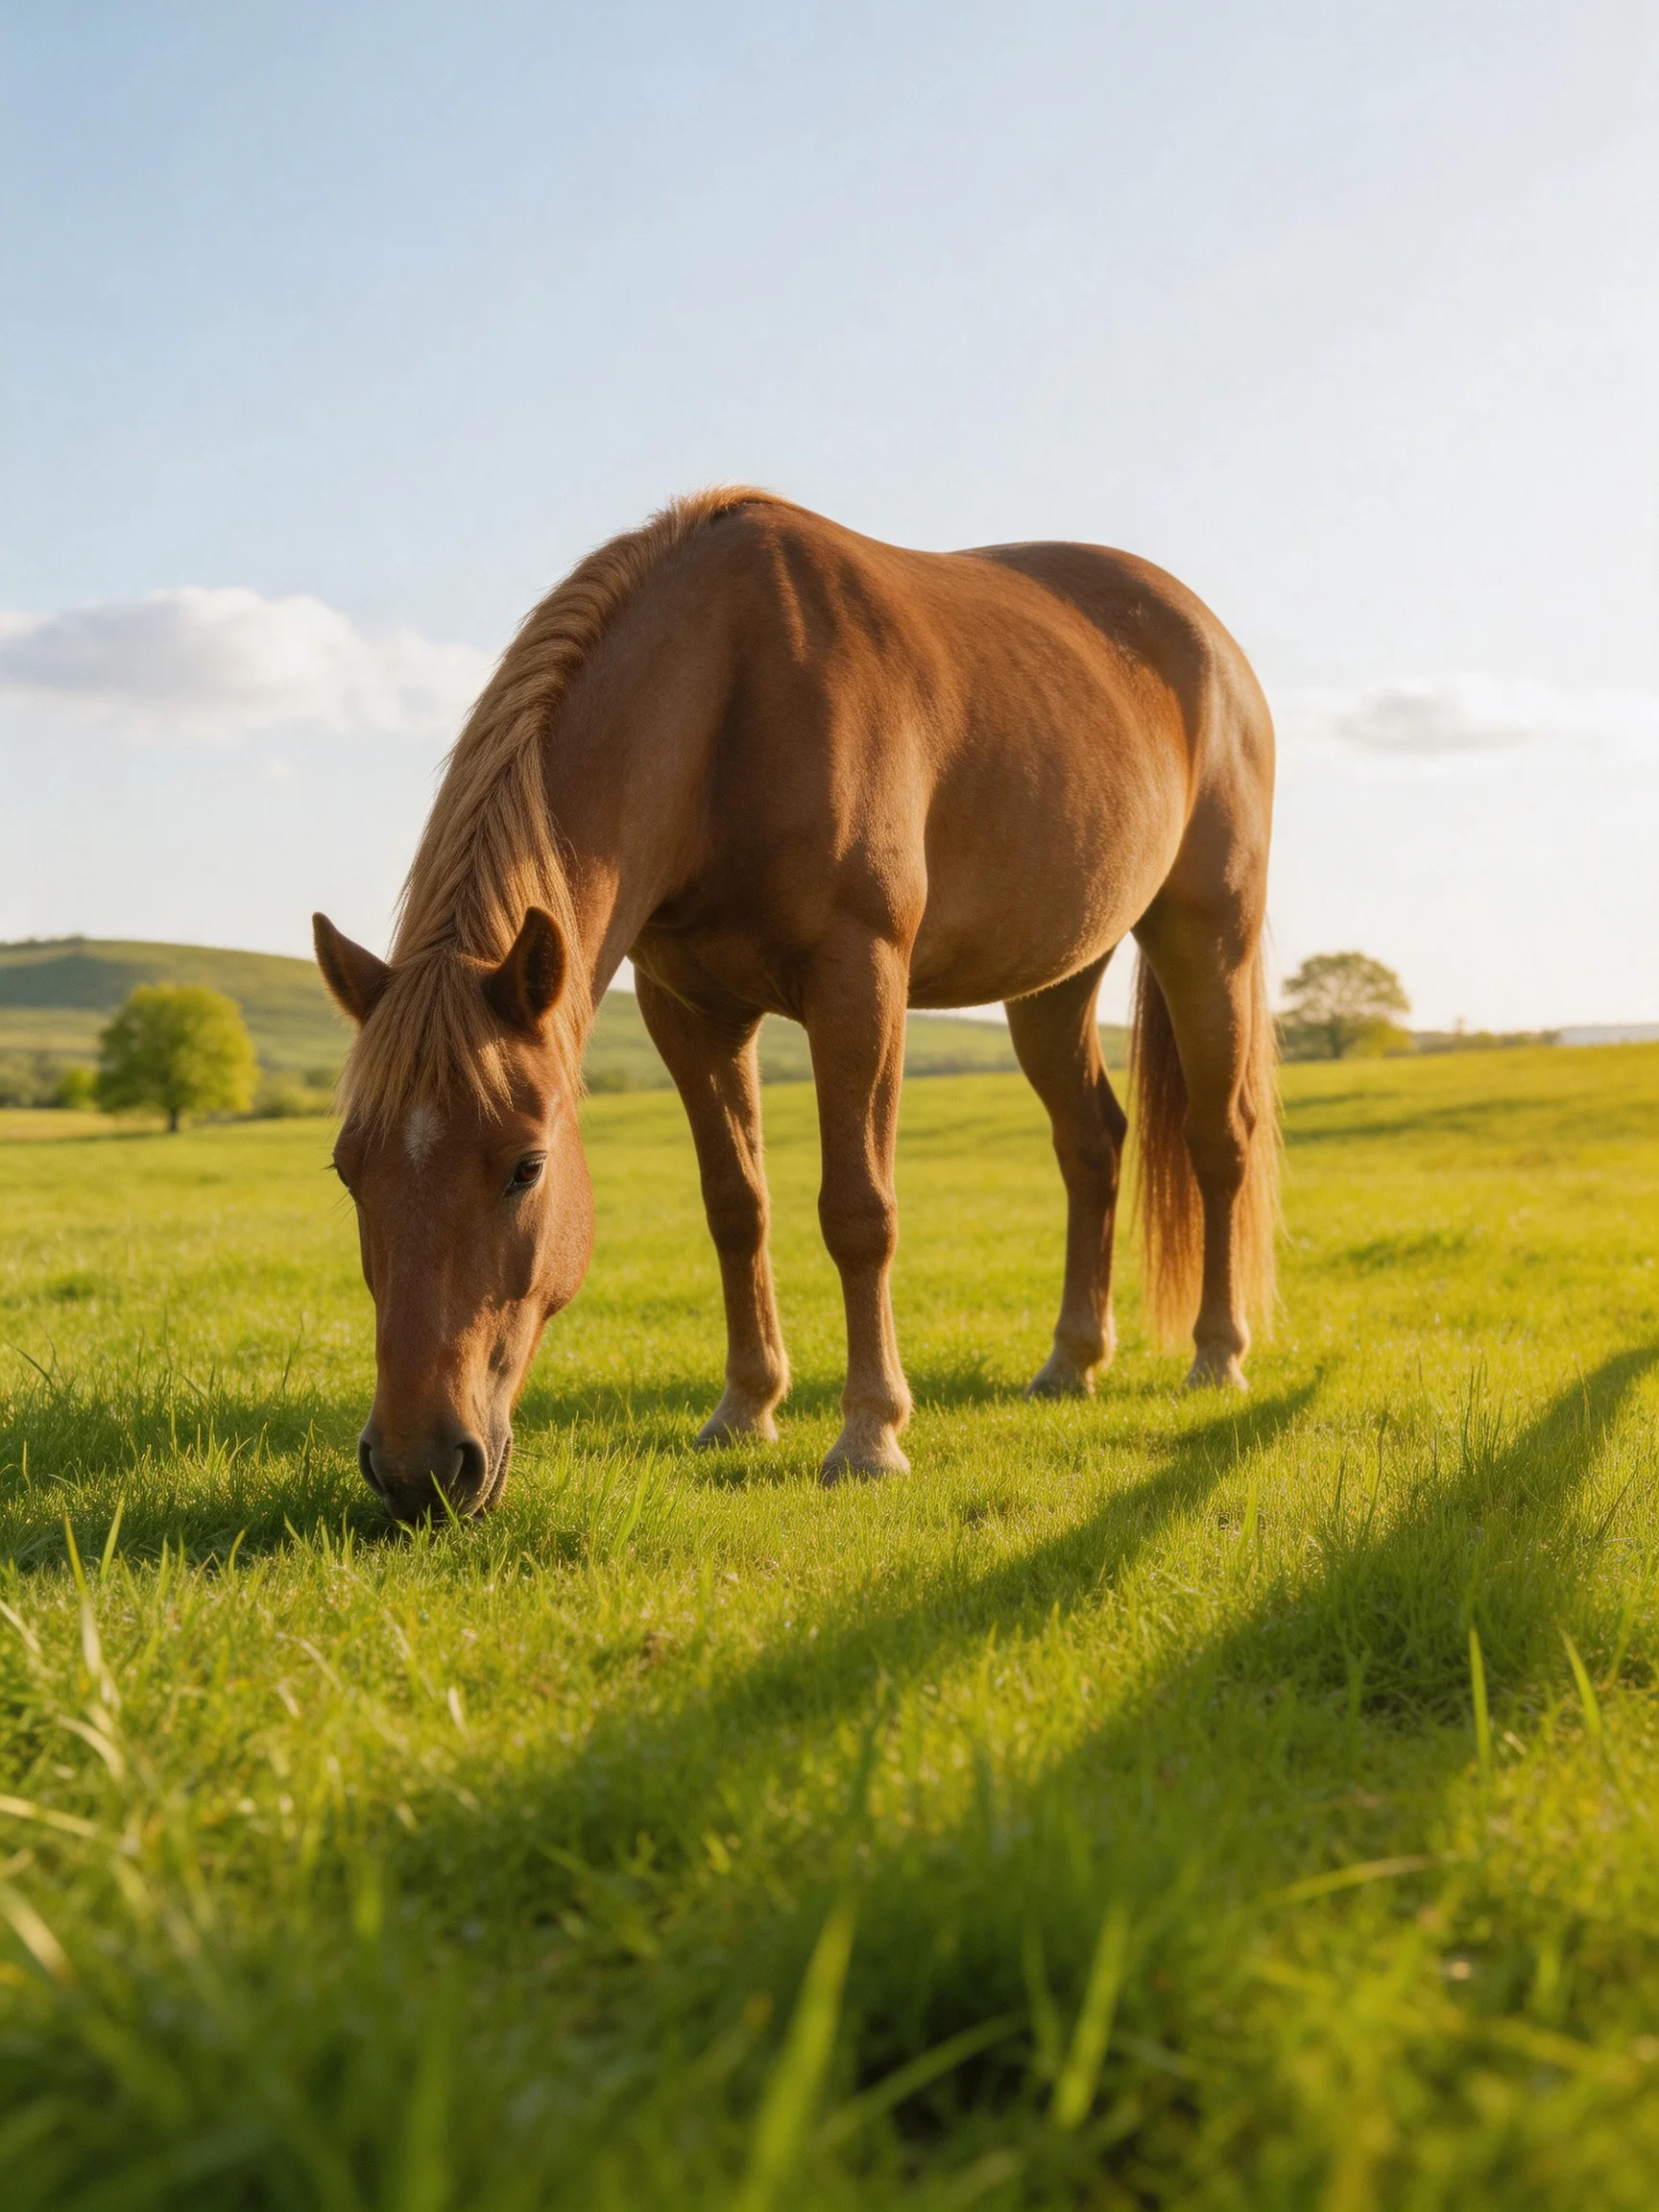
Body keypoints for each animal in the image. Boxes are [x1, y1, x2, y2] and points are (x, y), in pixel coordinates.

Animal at [314, 488, 1278, 1518]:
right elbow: (737, 1207)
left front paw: (870, 1435)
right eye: (348, 1169)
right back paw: (1072, 1361)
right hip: (1057, 979)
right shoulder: (689, 1011)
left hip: (1207, 939)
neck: (731, 699)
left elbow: (858, 1211)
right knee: (1091, 1144)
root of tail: (1213, 643)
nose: (417, 1468)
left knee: (1220, 1141)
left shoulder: (860, 981)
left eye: (527, 1168)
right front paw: (746, 1408)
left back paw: (1217, 1355)